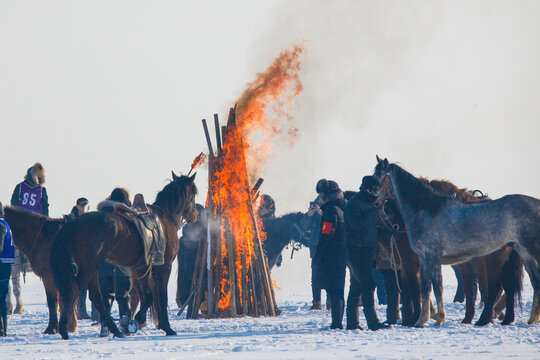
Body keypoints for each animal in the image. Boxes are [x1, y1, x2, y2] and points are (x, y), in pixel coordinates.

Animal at [50, 173, 198, 338]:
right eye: (193, 193)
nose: (194, 215)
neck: (165, 218)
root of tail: (75, 223)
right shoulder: (164, 268)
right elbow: (160, 297)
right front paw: (162, 326)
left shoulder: (141, 268)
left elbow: (147, 296)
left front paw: (137, 321)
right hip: (88, 267)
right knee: (74, 291)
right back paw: (64, 328)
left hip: (93, 268)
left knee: (96, 297)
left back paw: (114, 329)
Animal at [374, 156, 540, 328]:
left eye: (378, 179)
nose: (374, 202)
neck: (425, 211)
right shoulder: (422, 258)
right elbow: (426, 287)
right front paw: (422, 320)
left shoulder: (431, 256)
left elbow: (437, 286)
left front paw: (439, 318)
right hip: (523, 253)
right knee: (532, 281)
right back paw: (528, 318)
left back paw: (485, 319)